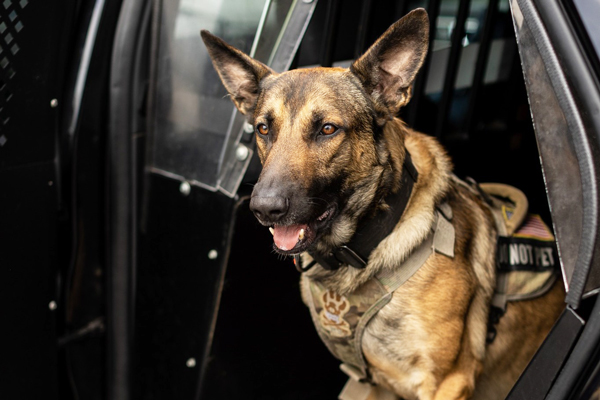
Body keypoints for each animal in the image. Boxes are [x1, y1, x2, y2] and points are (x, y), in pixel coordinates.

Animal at [200, 9, 564, 400]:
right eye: (263, 129)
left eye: (327, 129)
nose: (264, 209)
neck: (363, 247)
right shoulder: (373, 383)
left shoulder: (448, 382)